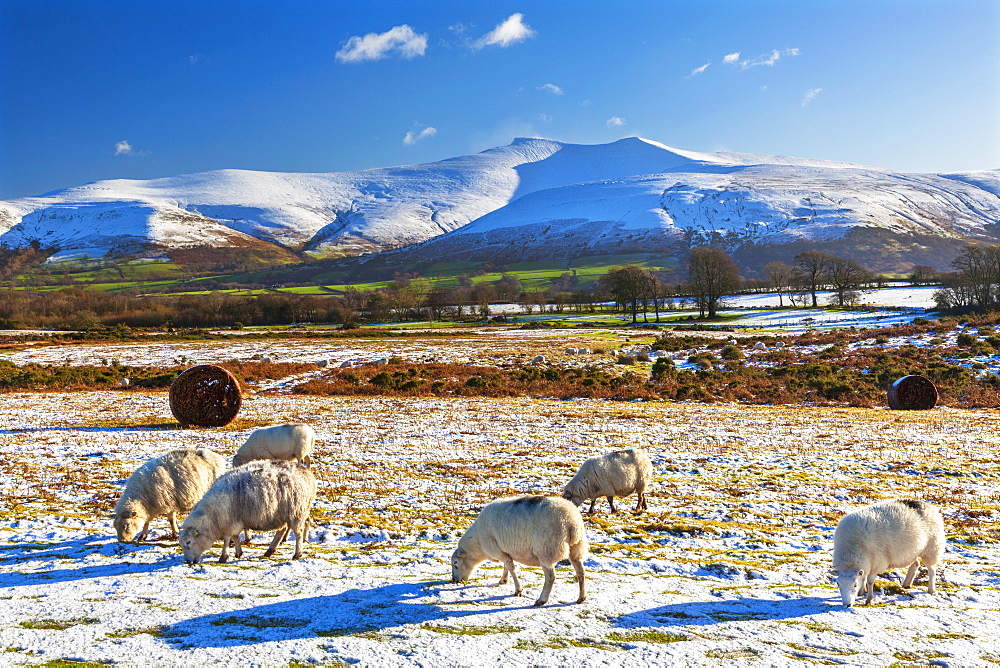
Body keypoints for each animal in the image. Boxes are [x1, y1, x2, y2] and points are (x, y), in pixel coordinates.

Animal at [178, 460, 314, 564]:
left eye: (188, 542)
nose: (188, 562)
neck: (211, 518)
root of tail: (306, 472)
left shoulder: (229, 522)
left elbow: (228, 539)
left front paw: (224, 556)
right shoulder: (234, 522)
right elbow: (236, 537)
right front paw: (238, 553)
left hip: (296, 512)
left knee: (298, 533)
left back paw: (297, 554)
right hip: (282, 514)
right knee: (282, 530)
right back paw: (270, 550)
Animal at [452, 494, 584, 608]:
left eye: (455, 563)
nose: (454, 580)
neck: (478, 542)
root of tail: (571, 522)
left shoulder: (498, 550)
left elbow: (511, 568)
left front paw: (518, 590)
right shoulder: (504, 550)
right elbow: (506, 566)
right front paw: (503, 581)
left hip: (546, 550)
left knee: (551, 577)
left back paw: (541, 600)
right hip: (576, 548)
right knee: (580, 572)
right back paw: (581, 598)